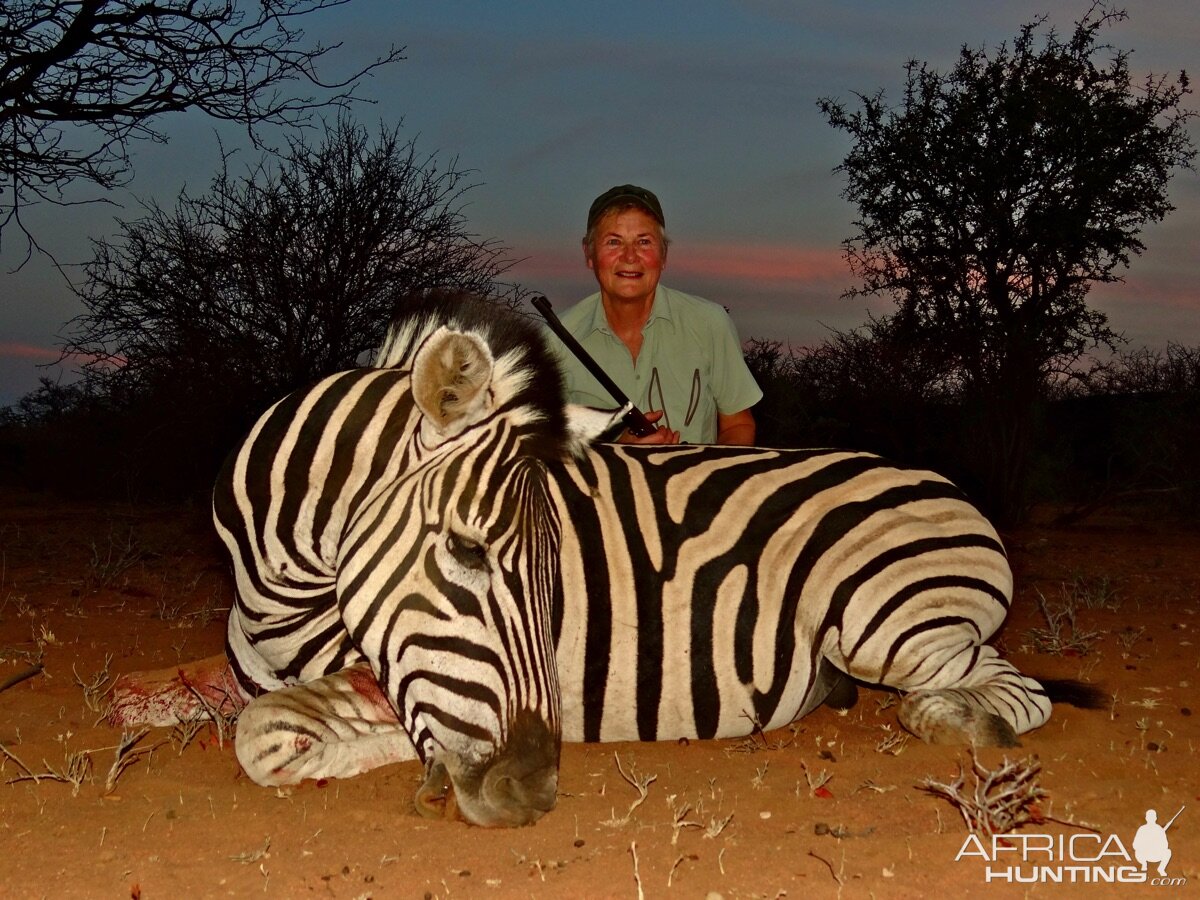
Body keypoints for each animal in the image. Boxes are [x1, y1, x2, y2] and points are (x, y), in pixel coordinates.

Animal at [110, 292, 1099, 830]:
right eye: (466, 550)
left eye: (553, 570)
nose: (528, 789)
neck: (280, 590)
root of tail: (943, 482)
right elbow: (171, 702)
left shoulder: (376, 676)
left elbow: (268, 733)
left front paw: (383, 750)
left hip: (886, 622)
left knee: (1010, 688)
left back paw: (953, 720)